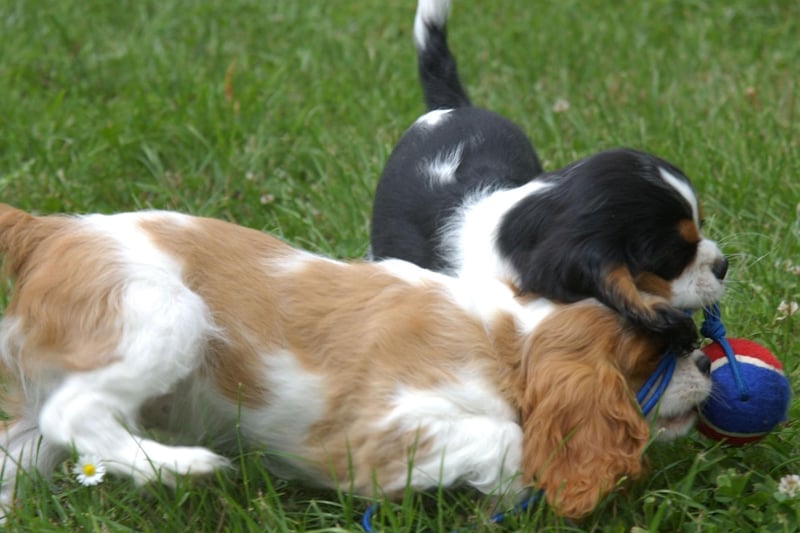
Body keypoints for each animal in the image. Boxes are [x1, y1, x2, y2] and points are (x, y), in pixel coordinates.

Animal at [0, 205, 712, 520]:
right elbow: (507, 437)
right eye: (657, 353)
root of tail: (51, 227)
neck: (511, 340)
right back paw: (177, 467)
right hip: (167, 315)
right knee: (75, 413)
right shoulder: (373, 432)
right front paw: (513, 488)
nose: (706, 364)